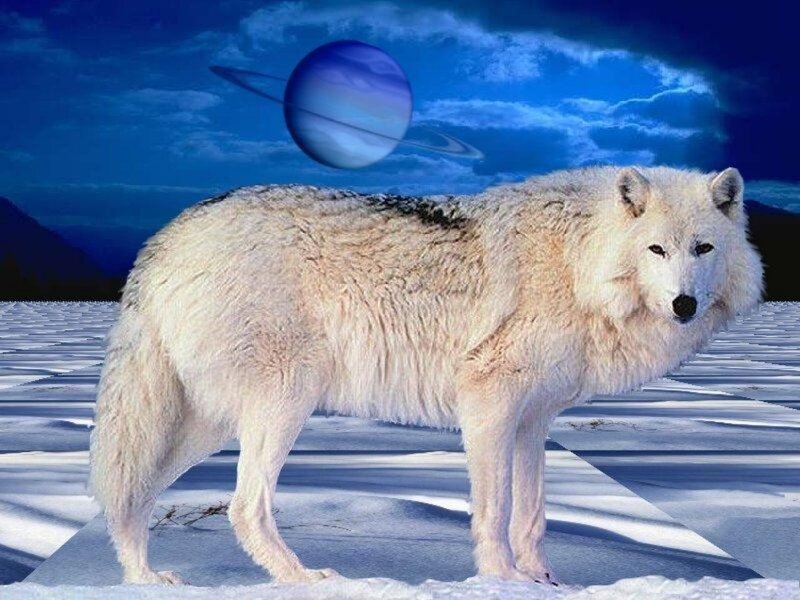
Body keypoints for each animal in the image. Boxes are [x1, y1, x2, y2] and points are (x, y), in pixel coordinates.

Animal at [90, 166, 762, 585]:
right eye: (656, 250)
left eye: (703, 249)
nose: (684, 304)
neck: (578, 261)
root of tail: (165, 237)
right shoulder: (488, 403)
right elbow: (494, 510)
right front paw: (500, 579)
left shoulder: (534, 419)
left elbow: (532, 514)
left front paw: (542, 580)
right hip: (283, 402)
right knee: (243, 508)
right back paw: (307, 579)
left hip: (204, 425)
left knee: (132, 495)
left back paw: (145, 580)